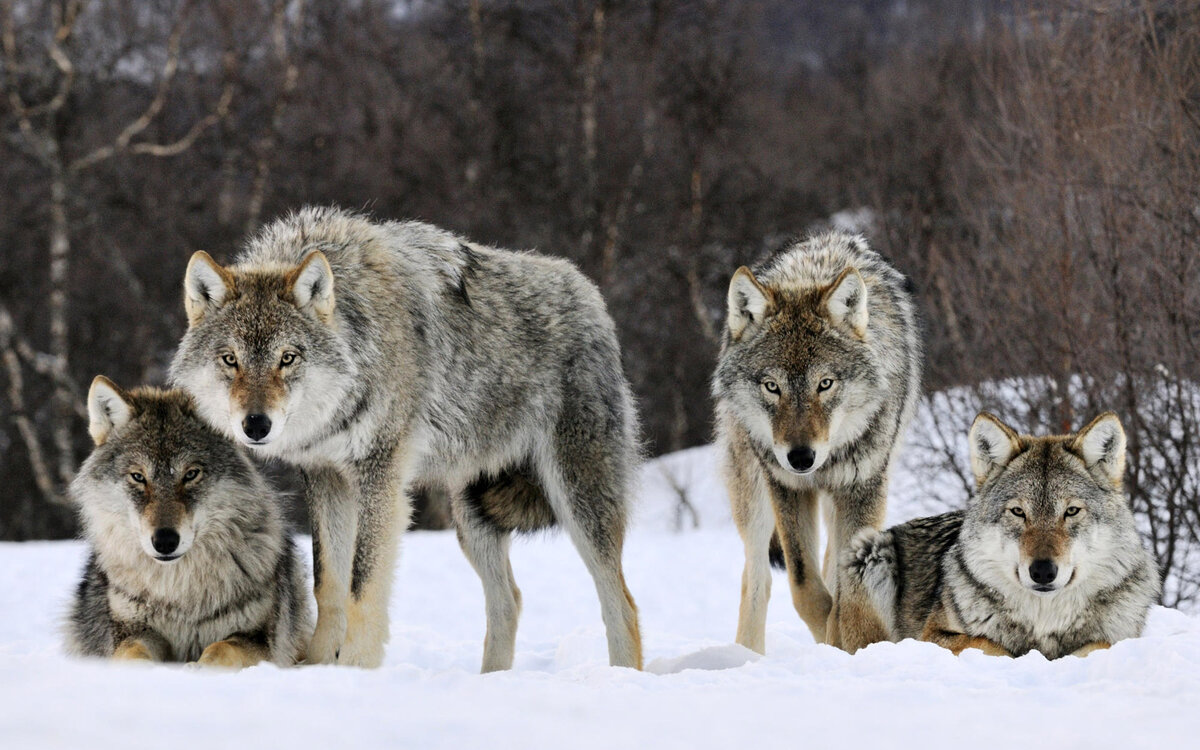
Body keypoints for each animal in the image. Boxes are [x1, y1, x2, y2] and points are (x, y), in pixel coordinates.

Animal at [66, 374, 312, 667]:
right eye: (138, 477)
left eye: (191, 474)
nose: (165, 540)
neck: (180, 593)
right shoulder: (133, 631)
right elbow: (132, 654)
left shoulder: (258, 639)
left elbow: (221, 649)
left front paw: (199, 669)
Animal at [166, 206, 648, 672]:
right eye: (230, 359)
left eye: (287, 358)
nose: (256, 425)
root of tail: (591, 295)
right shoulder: (326, 478)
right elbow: (328, 584)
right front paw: (318, 667)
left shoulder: (380, 476)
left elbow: (362, 586)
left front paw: (355, 669)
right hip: (472, 517)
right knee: (509, 601)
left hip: (578, 501)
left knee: (621, 603)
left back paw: (621, 677)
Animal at [710, 231, 916, 652]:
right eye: (772, 386)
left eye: (825, 383)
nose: (801, 457)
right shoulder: (787, 486)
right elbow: (805, 587)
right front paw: (831, 641)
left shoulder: (862, 487)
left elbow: (845, 589)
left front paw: (847, 641)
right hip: (752, 493)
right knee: (757, 577)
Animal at [844, 410, 1161, 652]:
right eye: (1018, 512)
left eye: (1071, 511)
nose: (1043, 571)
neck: (1044, 620)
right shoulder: (932, 635)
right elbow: (991, 644)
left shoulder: (1118, 638)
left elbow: (1099, 645)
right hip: (869, 550)